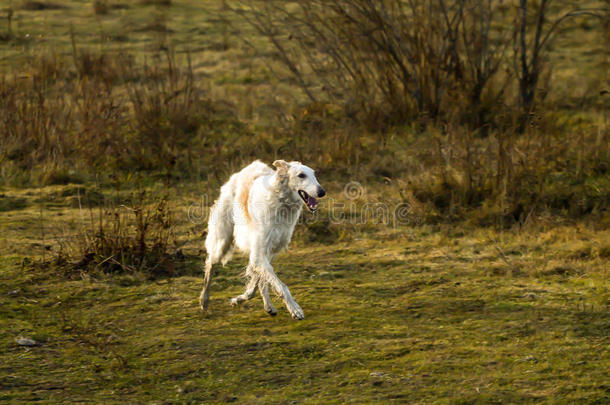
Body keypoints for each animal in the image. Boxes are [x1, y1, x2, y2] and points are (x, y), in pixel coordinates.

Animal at [198, 159, 324, 318]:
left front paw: (240, 298)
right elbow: (281, 286)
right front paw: (295, 309)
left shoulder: (268, 252)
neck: (281, 202)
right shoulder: (259, 254)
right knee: (210, 264)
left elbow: (257, 282)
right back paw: (204, 300)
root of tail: (239, 174)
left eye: (314, 174)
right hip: (221, 243)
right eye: (301, 175)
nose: (322, 192)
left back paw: (268, 306)